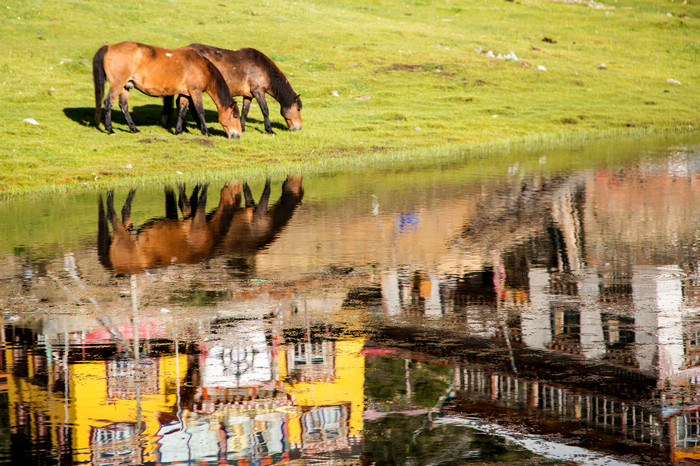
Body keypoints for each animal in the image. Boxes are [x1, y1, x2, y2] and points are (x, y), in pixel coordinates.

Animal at [93, 41, 242, 138]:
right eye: (235, 116)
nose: (238, 135)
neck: (202, 66)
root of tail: (109, 47)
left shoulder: (185, 94)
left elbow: (182, 111)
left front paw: (178, 131)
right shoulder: (195, 91)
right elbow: (200, 111)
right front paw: (205, 132)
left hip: (125, 86)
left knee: (123, 106)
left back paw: (134, 129)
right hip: (117, 84)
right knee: (108, 103)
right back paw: (110, 129)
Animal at [163, 44, 302, 134]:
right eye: (298, 109)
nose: (298, 128)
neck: (262, 68)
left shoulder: (249, 95)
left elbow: (245, 111)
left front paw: (242, 127)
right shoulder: (258, 91)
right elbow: (265, 110)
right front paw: (269, 130)